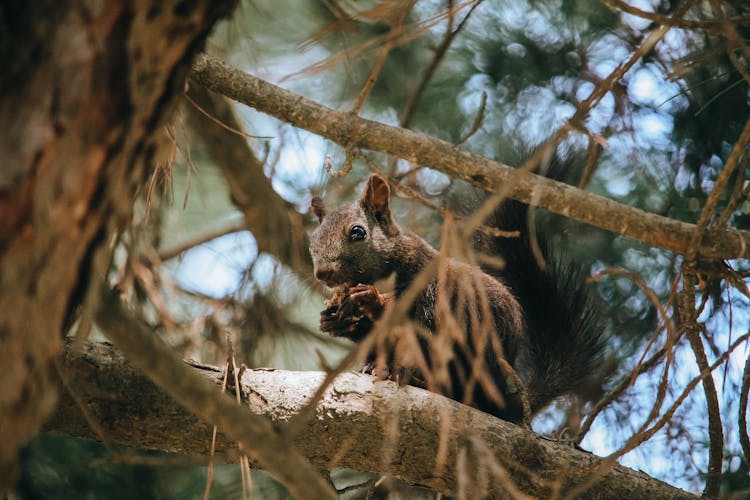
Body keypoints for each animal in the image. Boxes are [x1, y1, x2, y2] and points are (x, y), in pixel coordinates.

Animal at [308, 162, 608, 424]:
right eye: (312, 242)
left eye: (358, 232)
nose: (323, 273)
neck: (380, 279)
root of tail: (499, 401)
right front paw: (335, 320)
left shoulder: (429, 285)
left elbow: (418, 320)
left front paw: (370, 302)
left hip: (468, 350)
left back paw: (416, 378)